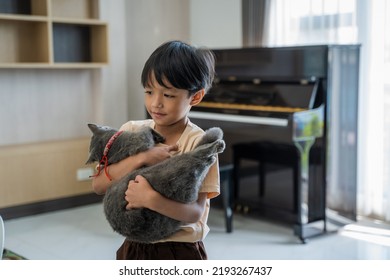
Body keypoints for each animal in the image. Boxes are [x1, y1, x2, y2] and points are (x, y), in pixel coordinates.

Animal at [85, 122, 225, 243]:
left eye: (102, 162)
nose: (101, 164)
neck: (109, 149)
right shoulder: (140, 139)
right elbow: (147, 128)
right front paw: (159, 136)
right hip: (173, 168)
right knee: (198, 157)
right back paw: (216, 144)